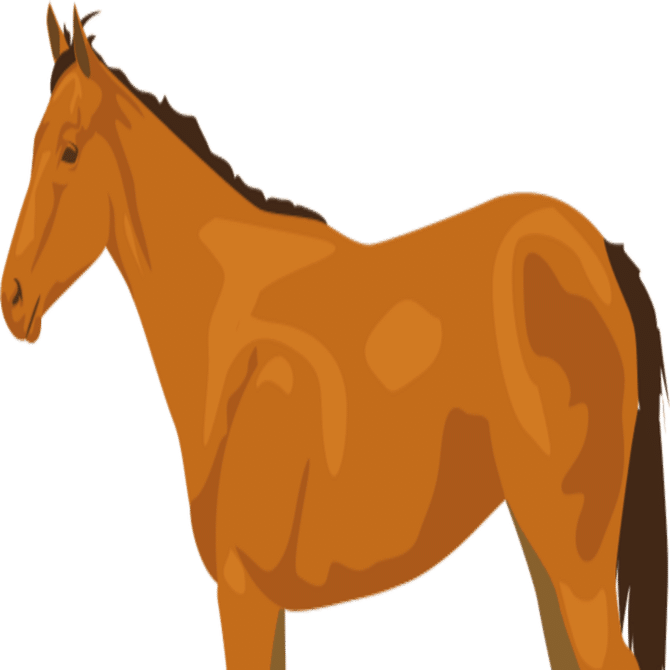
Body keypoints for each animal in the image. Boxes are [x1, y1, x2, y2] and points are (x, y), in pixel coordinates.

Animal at [2, 3, 668, 669]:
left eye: (68, 151)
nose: (13, 298)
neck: (230, 322)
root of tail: (599, 251)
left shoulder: (245, 594)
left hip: (573, 561)